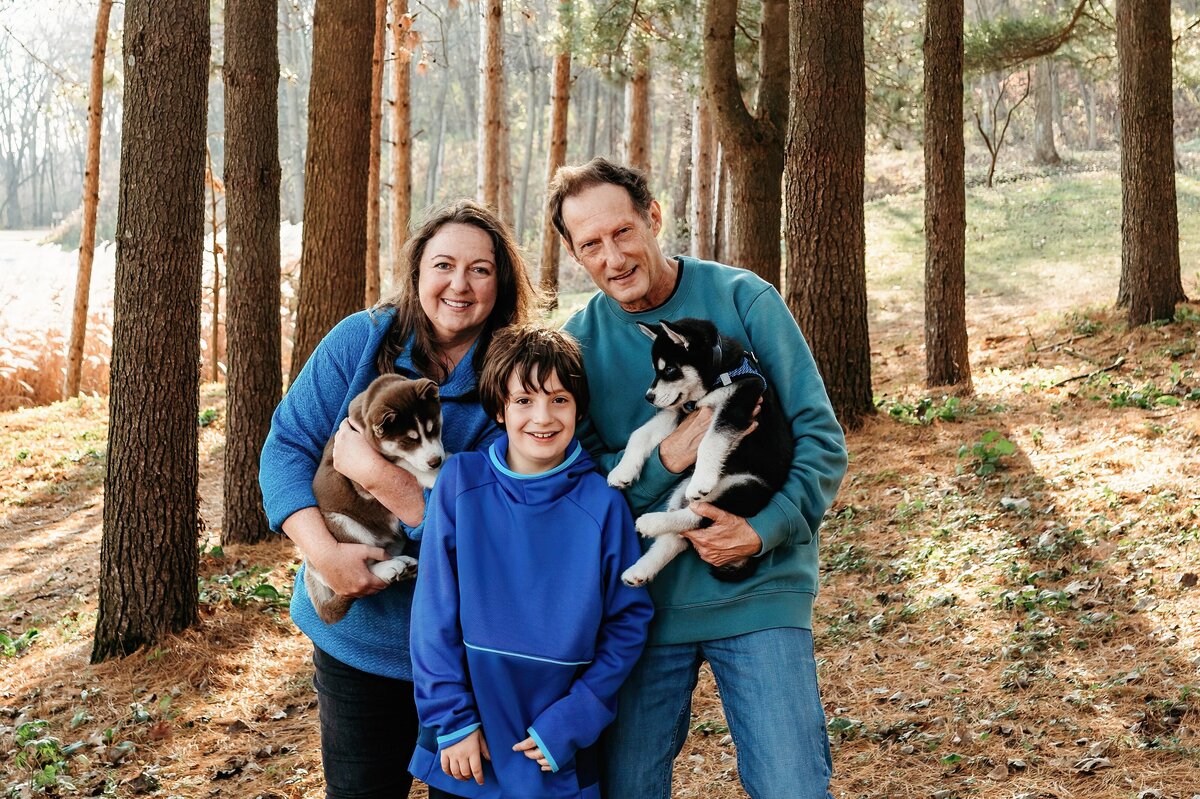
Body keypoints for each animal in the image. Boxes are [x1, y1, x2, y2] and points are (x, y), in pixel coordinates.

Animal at [604, 316, 792, 585]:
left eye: (670, 370)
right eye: (656, 370)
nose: (648, 397)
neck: (720, 374)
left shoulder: (737, 404)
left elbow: (711, 441)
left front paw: (702, 480)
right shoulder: (680, 413)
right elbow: (639, 434)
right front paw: (622, 472)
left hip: (745, 487)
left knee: (698, 517)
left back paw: (651, 521)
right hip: (680, 491)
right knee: (679, 535)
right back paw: (639, 570)